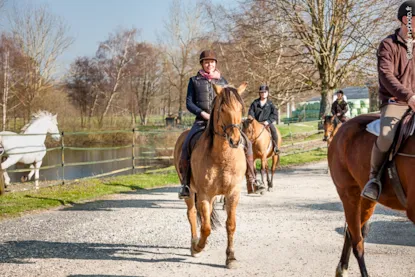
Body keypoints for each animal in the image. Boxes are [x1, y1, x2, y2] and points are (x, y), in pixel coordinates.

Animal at [174, 82, 249, 268]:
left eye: (240, 108)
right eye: (222, 108)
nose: (235, 141)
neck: (222, 156)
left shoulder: (232, 193)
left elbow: (230, 224)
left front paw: (230, 257)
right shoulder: (204, 195)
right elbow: (206, 227)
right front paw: (198, 246)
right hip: (190, 193)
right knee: (192, 214)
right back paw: (194, 244)